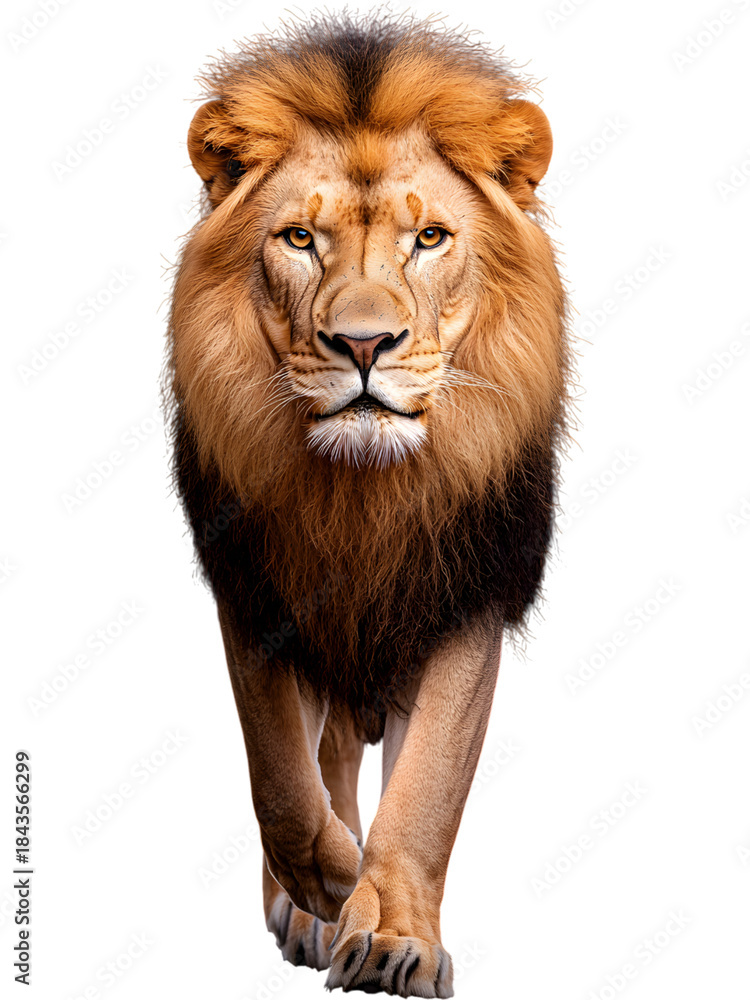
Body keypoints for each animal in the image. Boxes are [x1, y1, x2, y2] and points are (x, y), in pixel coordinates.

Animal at [167, 12, 570, 998]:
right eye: (297, 240)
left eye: (428, 238)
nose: (362, 343)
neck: (363, 494)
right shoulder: (255, 591)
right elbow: (279, 772)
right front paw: (332, 882)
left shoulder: (470, 592)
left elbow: (426, 789)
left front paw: (389, 930)